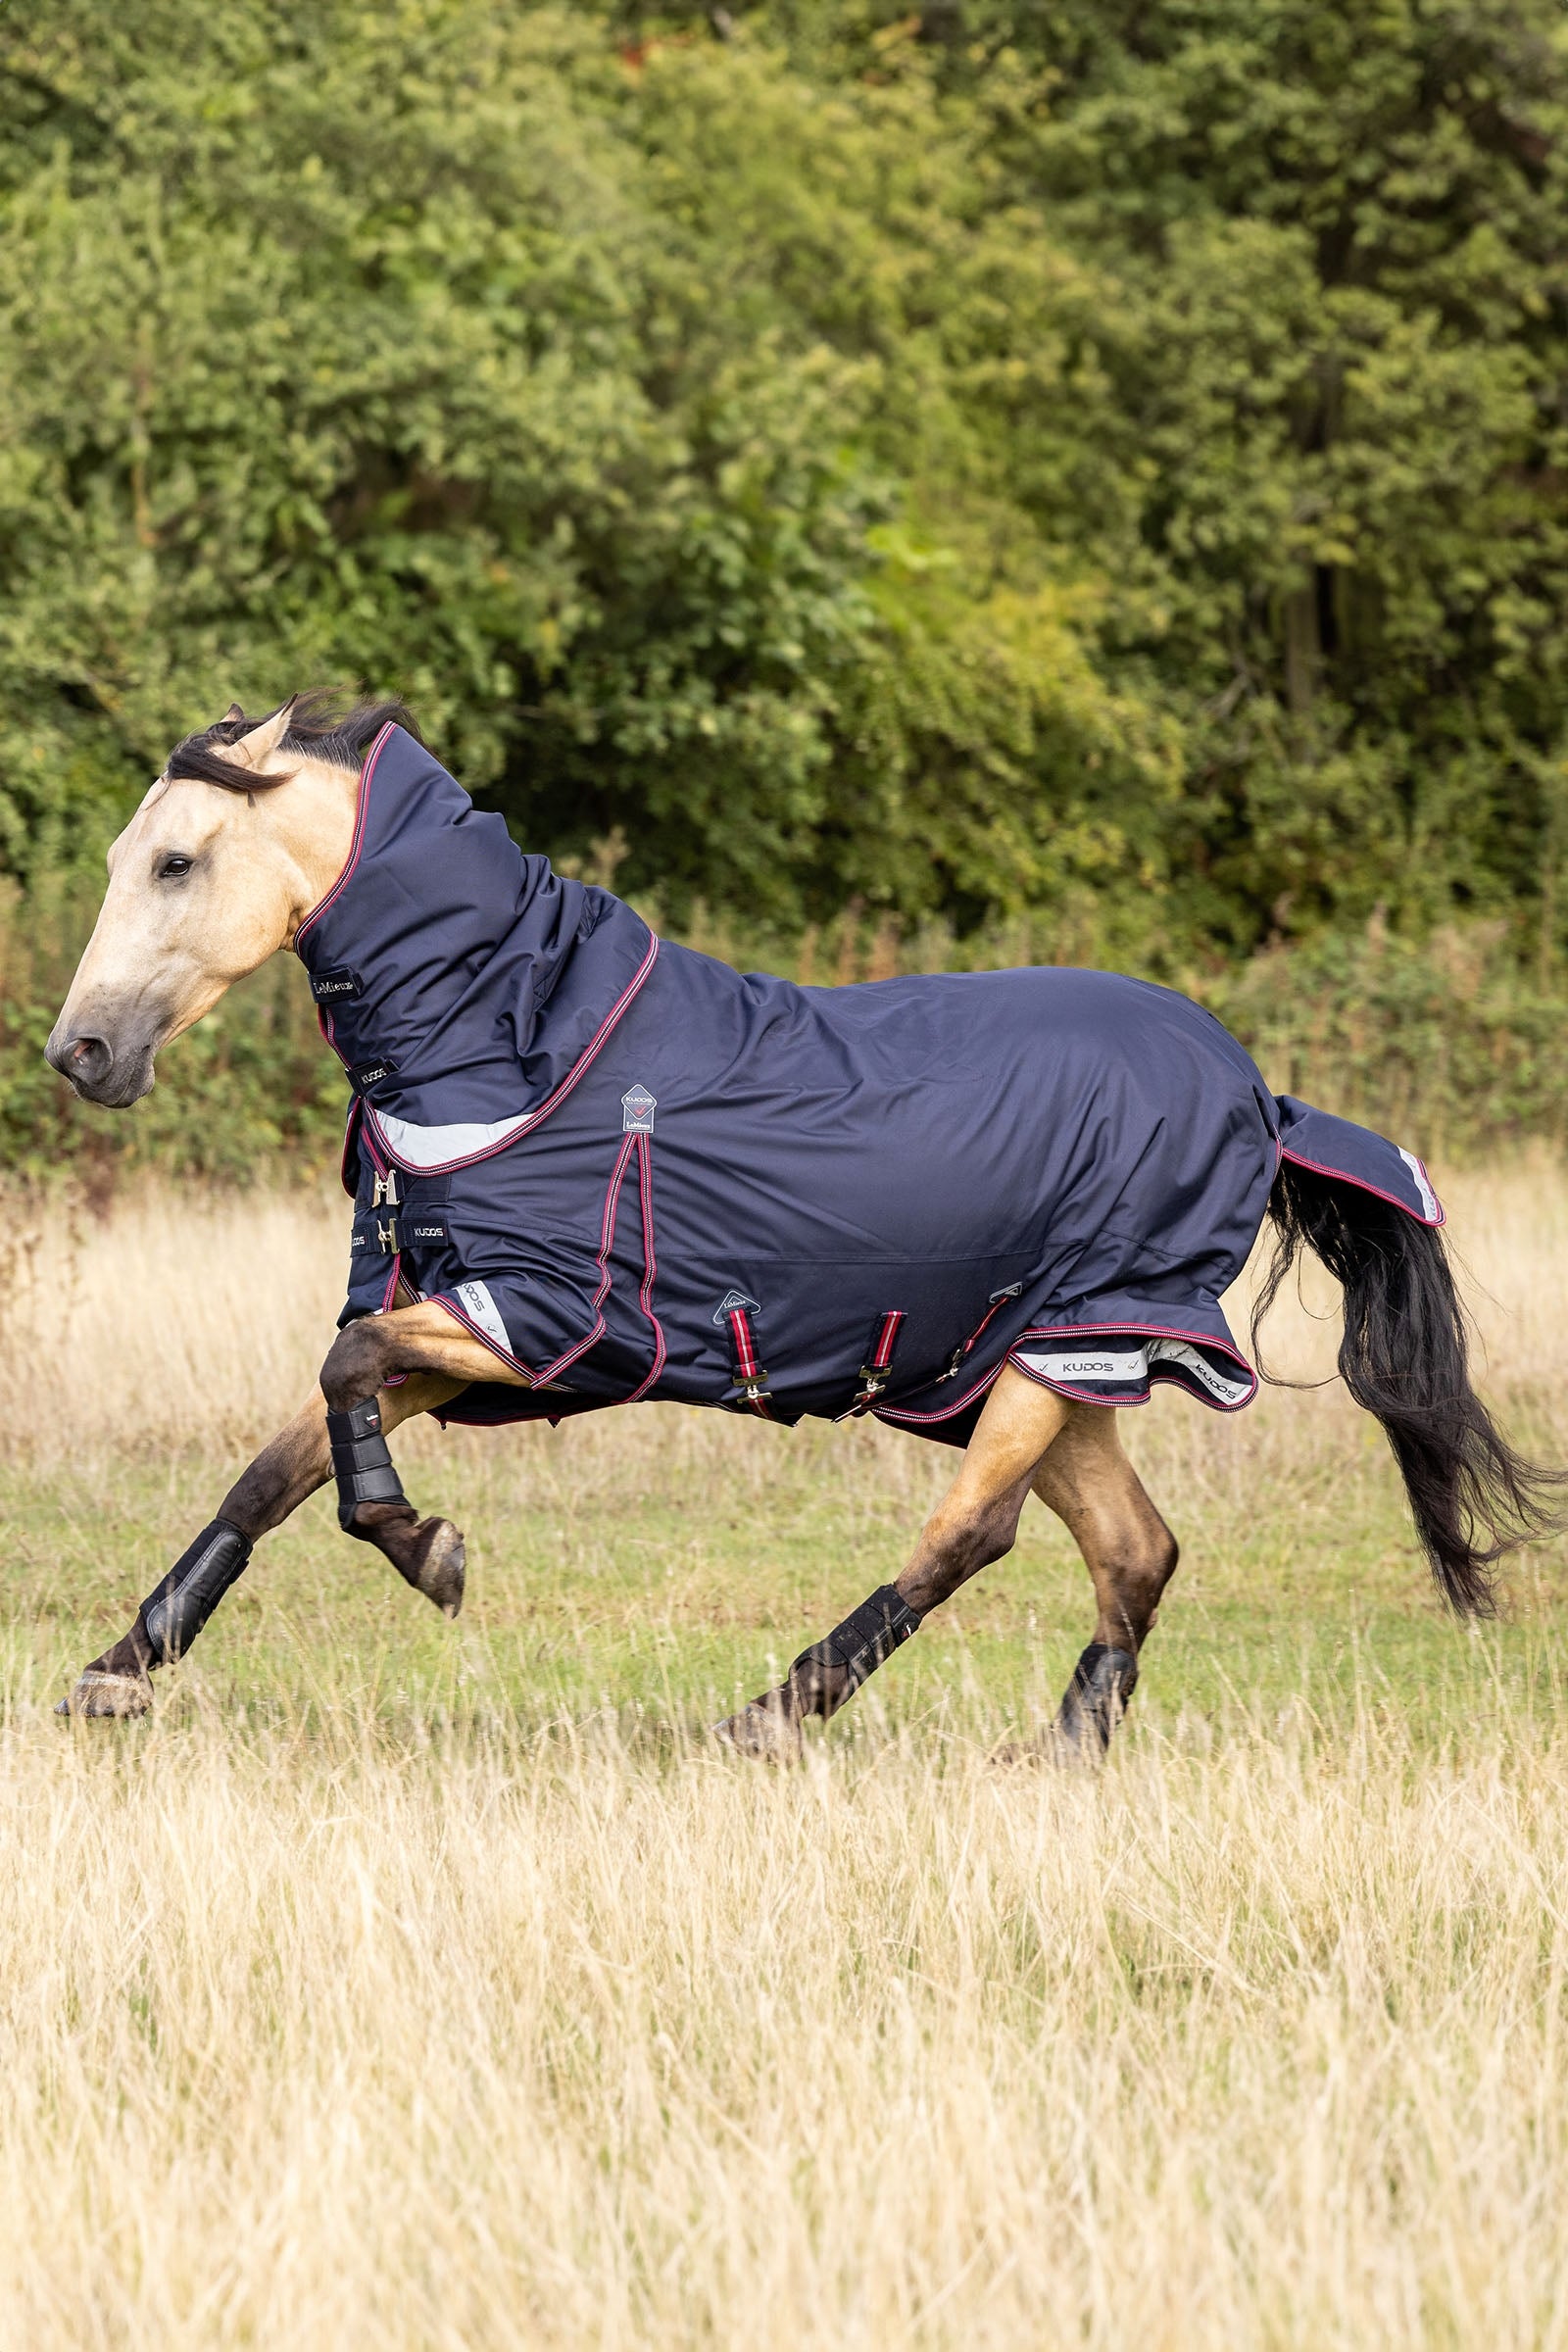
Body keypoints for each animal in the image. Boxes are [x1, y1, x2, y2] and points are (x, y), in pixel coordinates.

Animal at [44, 696, 1561, 1757]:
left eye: (175, 860)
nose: (81, 1053)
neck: (526, 1045)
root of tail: (1256, 1091)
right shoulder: (461, 1321)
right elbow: (276, 1462)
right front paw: (118, 1673)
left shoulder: (541, 1323)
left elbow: (339, 1380)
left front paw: (432, 1555)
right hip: (1053, 1357)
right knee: (1133, 1551)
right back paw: (1065, 1747)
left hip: (1069, 1348)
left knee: (970, 1537)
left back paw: (772, 1714)